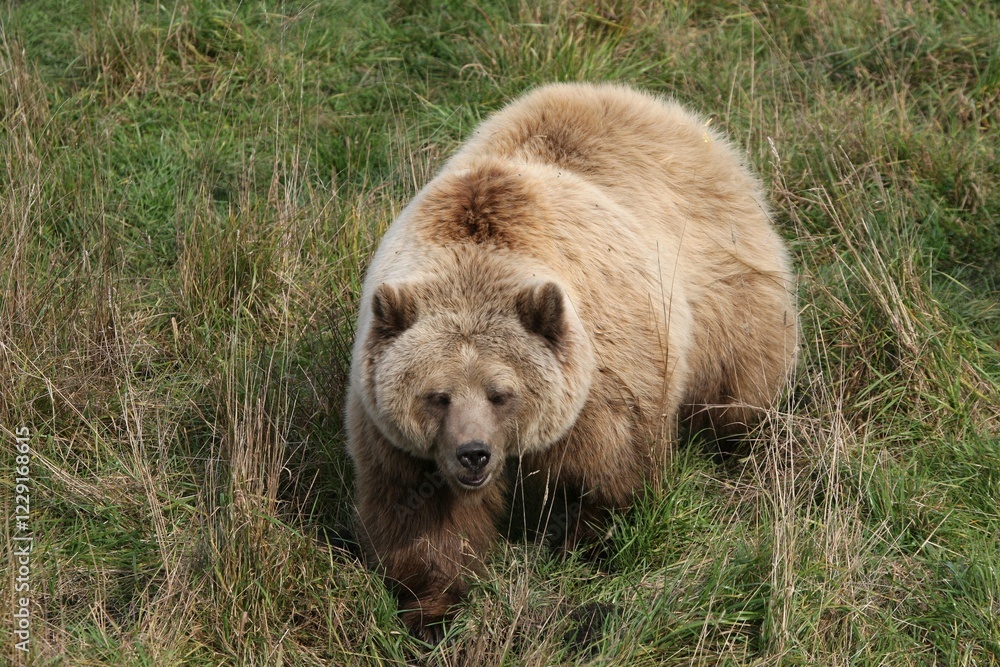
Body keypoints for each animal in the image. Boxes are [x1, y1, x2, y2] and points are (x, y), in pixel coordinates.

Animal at [345, 82, 798, 641]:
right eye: (437, 395)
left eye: (501, 393)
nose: (474, 455)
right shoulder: (392, 434)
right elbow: (423, 518)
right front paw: (431, 612)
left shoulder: (605, 377)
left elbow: (613, 472)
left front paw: (590, 541)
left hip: (724, 285)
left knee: (739, 388)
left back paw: (744, 444)